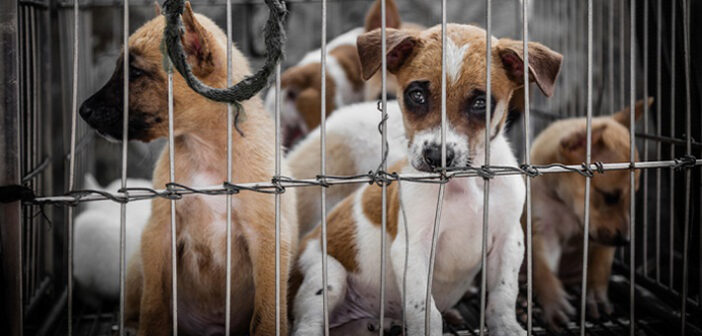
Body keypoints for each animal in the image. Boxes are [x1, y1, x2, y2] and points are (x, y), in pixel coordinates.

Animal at [78, 3, 298, 336]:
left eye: (136, 73)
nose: (83, 111)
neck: (204, 149)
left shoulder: (268, 240)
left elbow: (267, 315)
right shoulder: (159, 234)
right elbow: (154, 307)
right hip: (136, 266)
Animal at [288, 24, 564, 336]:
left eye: (480, 103)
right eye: (417, 95)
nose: (436, 156)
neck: (465, 182)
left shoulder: (508, 240)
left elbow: (502, 295)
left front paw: (506, 327)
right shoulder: (413, 249)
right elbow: (424, 309)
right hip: (326, 276)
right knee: (310, 322)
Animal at [528, 97, 648, 328]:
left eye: (634, 194)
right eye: (610, 196)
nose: (626, 241)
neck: (565, 203)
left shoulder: (602, 239)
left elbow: (600, 267)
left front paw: (596, 296)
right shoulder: (544, 231)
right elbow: (543, 269)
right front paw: (554, 301)